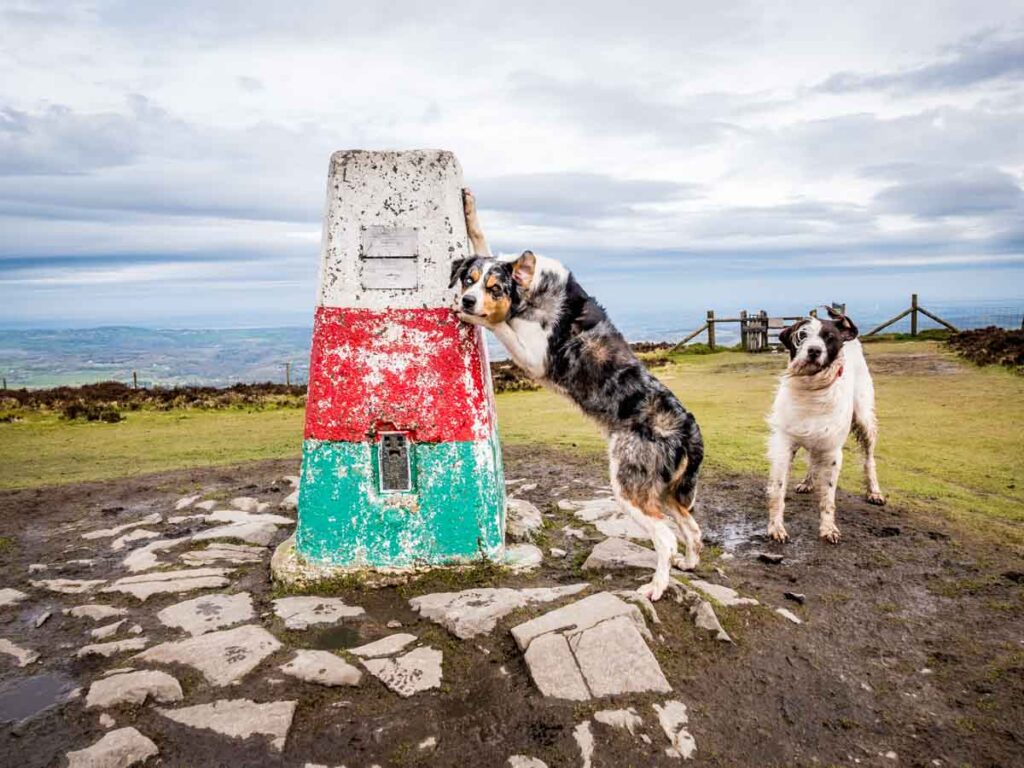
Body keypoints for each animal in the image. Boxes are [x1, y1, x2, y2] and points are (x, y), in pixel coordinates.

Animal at [456, 191, 704, 602]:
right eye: (469, 280)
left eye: (495, 289)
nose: (466, 301)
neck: (532, 289)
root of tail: (686, 425)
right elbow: (481, 237)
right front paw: (469, 207)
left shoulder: (534, 356)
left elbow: (498, 323)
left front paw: (472, 317)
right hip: (667, 490)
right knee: (692, 527)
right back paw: (688, 562)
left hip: (630, 486)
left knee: (666, 537)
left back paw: (656, 586)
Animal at [770, 309, 888, 548]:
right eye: (802, 335)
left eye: (829, 337)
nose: (814, 350)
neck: (812, 388)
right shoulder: (784, 445)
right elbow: (778, 490)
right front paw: (776, 527)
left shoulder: (833, 451)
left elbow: (828, 497)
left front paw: (828, 528)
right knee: (813, 461)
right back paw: (807, 482)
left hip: (864, 419)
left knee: (869, 458)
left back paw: (874, 491)